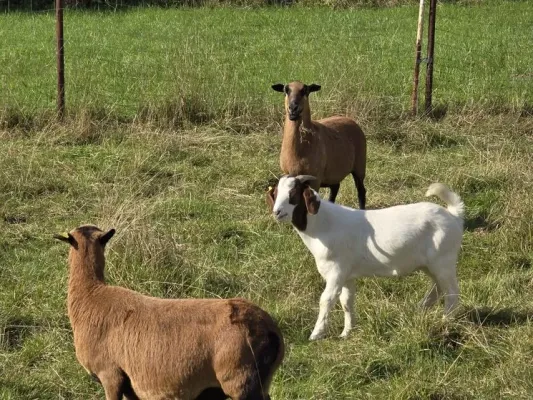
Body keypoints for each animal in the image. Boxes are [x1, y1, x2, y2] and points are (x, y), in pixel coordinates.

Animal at [55, 225, 282, 400]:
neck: (90, 295)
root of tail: (270, 331)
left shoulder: (110, 374)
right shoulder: (130, 385)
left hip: (241, 381)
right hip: (260, 381)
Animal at [268, 175, 464, 340]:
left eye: (293, 193)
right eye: (275, 193)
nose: (277, 212)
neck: (322, 225)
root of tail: (454, 216)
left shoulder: (336, 271)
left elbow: (327, 299)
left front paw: (316, 335)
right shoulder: (347, 276)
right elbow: (346, 302)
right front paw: (346, 332)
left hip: (443, 260)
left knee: (452, 293)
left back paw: (445, 321)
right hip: (429, 265)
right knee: (438, 288)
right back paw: (421, 308)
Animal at [270, 79, 366, 208]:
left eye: (305, 90)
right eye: (286, 90)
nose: (293, 108)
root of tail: (350, 120)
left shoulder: (315, 180)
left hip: (360, 165)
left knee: (361, 191)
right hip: (333, 172)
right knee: (335, 188)